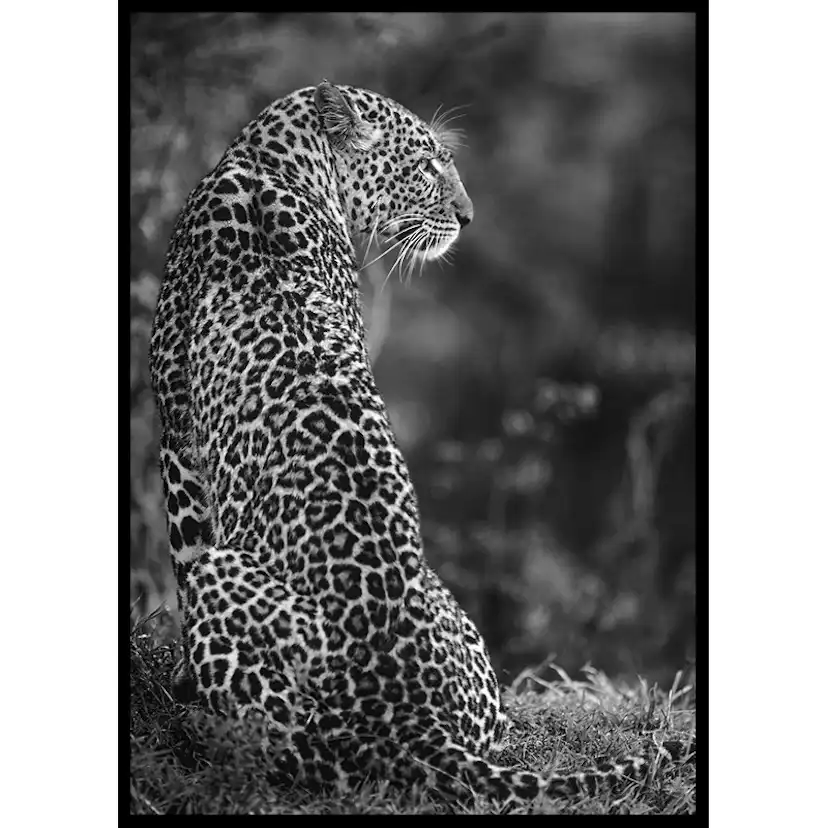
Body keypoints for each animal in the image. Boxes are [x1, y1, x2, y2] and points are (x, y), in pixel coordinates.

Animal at [148, 79, 673, 805]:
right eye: (426, 165)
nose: (469, 217)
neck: (269, 160)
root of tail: (413, 722)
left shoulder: (176, 436)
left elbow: (183, 548)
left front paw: (176, 681)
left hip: (235, 593)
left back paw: (202, 722)